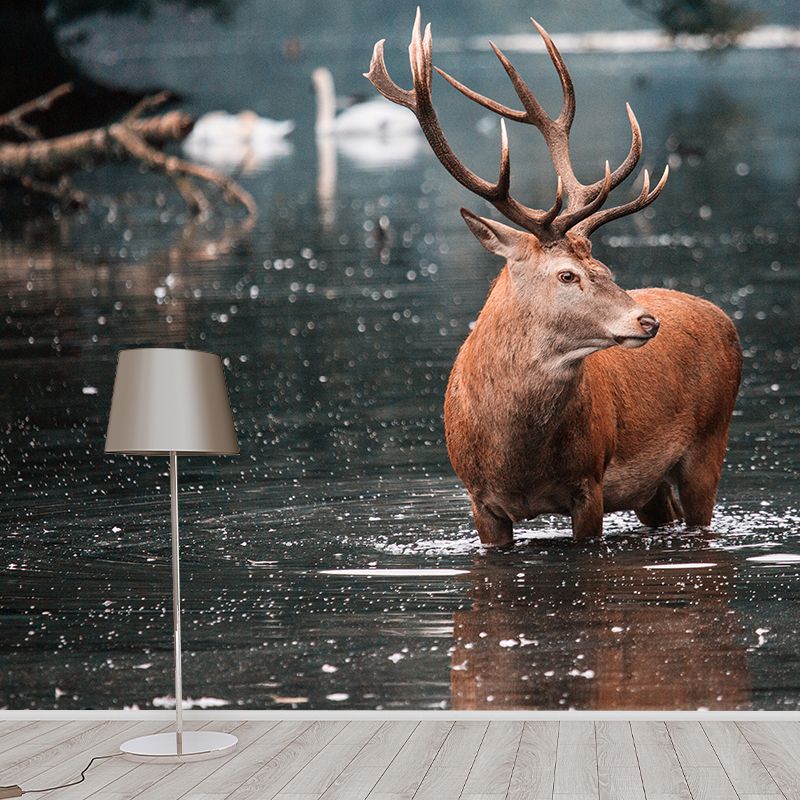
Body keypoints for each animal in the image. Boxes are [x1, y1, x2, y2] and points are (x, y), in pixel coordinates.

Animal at [366, 10, 742, 545]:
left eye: (605, 268)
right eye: (567, 275)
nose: (647, 321)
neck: (516, 460)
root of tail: (723, 317)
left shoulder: (591, 482)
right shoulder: (478, 501)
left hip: (710, 441)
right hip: (651, 488)